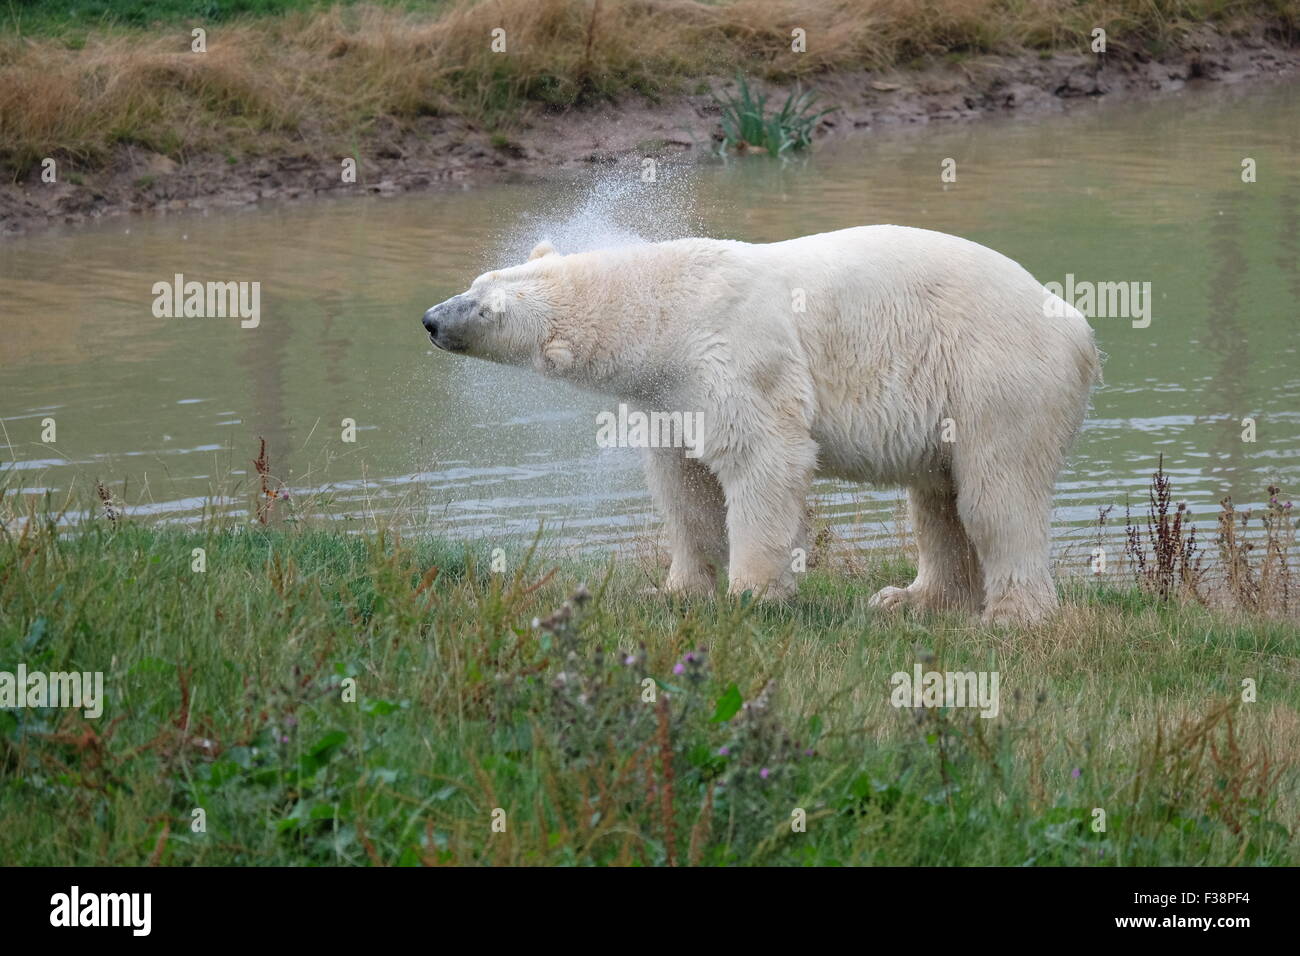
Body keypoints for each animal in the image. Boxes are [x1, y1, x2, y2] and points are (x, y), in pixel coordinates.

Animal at [423, 226, 1097, 629]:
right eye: (479, 283)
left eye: (487, 310)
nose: (431, 319)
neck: (670, 302)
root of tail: (1078, 326)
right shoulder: (668, 395)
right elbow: (684, 485)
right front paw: (675, 591)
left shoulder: (738, 355)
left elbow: (762, 460)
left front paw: (751, 594)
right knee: (936, 499)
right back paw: (913, 598)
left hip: (995, 377)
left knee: (995, 495)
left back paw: (1010, 617)